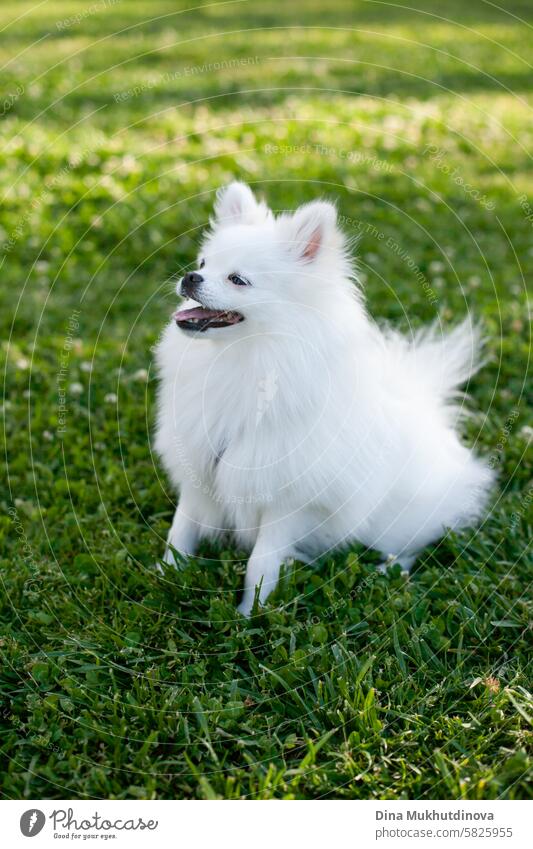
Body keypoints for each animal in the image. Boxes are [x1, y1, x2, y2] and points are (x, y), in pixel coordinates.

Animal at [153, 182, 490, 612]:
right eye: (202, 261)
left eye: (237, 279)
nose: (191, 276)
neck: (243, 360)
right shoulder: (199, 468)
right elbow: (179, 534)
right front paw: (165, 577)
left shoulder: (289, 500)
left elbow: (260, 561)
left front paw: (250, 614)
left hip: (397, 521)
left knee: (411, 544)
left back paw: (389, 571)